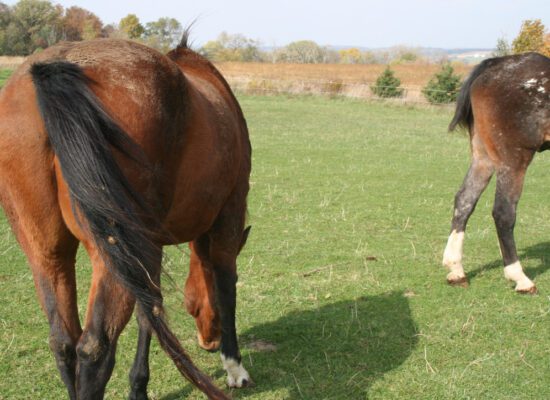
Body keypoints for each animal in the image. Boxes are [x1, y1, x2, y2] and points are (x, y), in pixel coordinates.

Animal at [0, 36, 252, 398]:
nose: (209, 341)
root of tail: (56, 65)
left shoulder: (151, 249)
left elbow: (151, 309)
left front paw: (138, 386)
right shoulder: (228, 219)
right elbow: (225, 285)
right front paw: (234, 367)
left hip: (48, 253)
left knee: (63, 342)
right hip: (111, 254)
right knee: (94, 348)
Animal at [444, 51, 550, 292]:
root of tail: (496, 64)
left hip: (483, 158)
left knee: (464, 200)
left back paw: (456, 269)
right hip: (514, 160)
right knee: (503, 212)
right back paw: (519, 277)